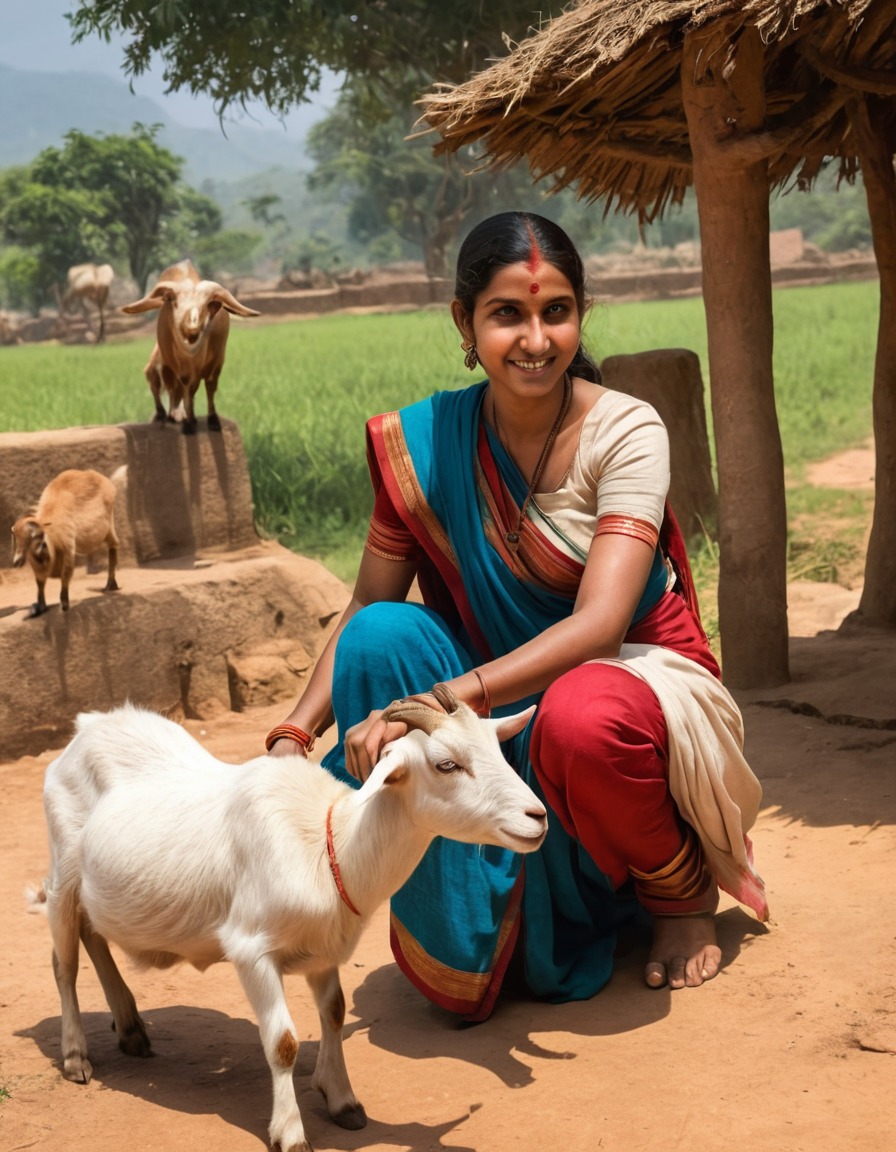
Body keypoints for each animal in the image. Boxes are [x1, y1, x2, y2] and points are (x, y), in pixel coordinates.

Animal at [10, 465, 119, 617]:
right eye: (16, 537)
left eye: (33, 536)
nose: (17, 561)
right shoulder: (38, 569)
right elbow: (40, 585)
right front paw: (39, 608)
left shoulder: (68, 553)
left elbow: (65, 578)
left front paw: (65, 605)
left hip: (109, 526)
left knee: (114, 546)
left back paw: (110, 585)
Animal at [34, 686, 543, 1147]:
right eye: (446, 764)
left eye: (497, 750)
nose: (537, 816)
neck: (328, 843)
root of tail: (89, 725)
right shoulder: (250, 949)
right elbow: (282, 1042)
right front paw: (291, 1133)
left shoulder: (325, 952)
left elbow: (334, 1013)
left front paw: (342, 1100)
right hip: (62, 871)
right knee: (64, 962)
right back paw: (76, 1056)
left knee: (92, 934)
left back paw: (131, 1029)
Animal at [120, 259, 257, 433]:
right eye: (174, 301)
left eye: (207, 304)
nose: (191, 327)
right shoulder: (178, 365)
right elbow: (185, 386)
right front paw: (189, 421)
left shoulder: (216, 362)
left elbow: (209, 386)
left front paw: (212, 420)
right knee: (162, 385)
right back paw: (166, 415)